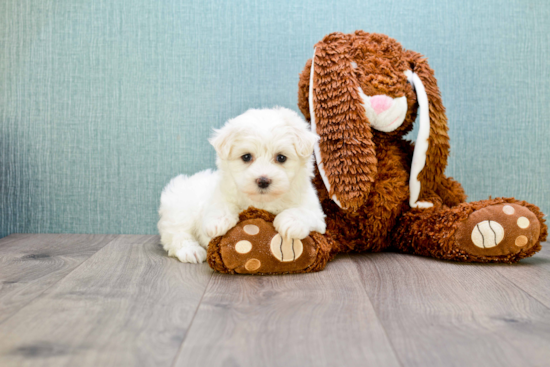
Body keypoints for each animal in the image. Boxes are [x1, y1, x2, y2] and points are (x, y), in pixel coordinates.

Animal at [156, 107, 328, 264]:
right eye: (246, 157)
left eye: (281, 157)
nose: (263, 180)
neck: (262, 202)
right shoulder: (221, 193)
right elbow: (220, 204)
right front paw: (218, 222)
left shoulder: (317, 214)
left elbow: (304, 212)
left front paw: (290, 222)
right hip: (180, 210)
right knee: (176, 234)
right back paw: (191, 251)